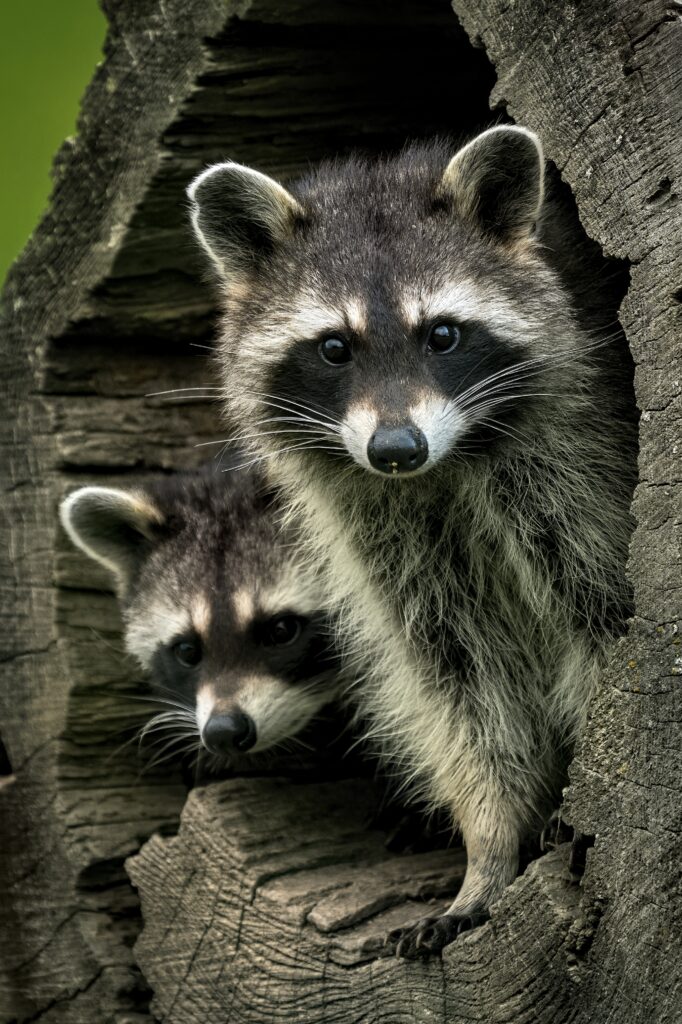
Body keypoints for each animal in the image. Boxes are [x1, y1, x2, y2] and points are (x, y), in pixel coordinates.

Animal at [187, 126, 637, 956]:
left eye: (443, 335)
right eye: (334, 348)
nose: (396, 448)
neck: (443, 469)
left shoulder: (577, 465)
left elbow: (602, 623)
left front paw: (582, 791)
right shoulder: (391, 541)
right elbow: (460, 688)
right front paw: (488, 846)